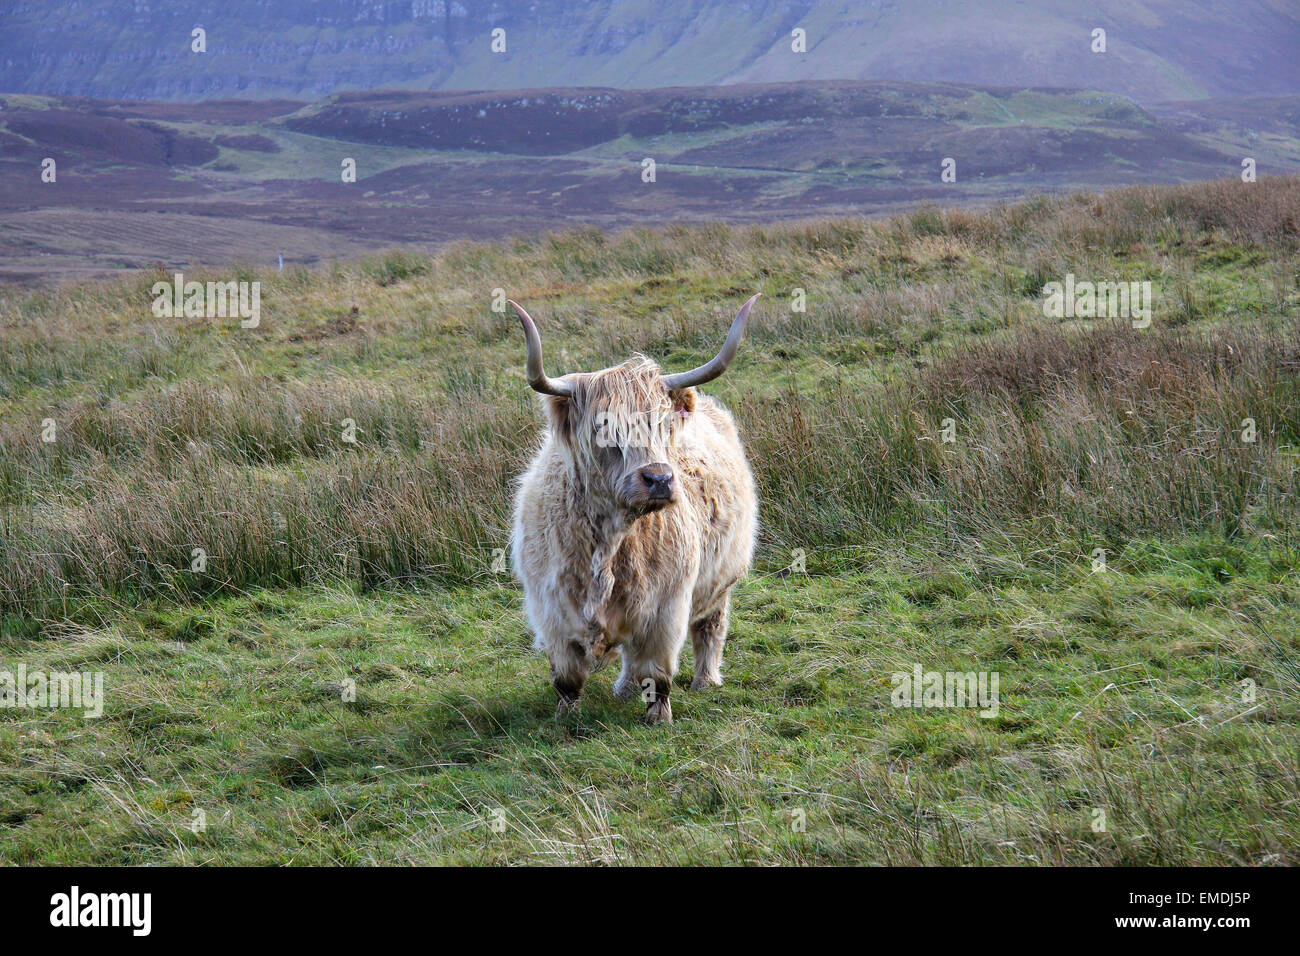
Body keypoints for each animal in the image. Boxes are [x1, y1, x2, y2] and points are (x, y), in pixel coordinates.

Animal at [509, 294, 761, 724]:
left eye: (663, 426)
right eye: (603, 429)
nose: (659, 479)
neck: (609, 540)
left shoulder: (666, 610)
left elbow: (657, 672)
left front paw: (659, 719)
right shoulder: (551, 609)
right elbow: (567, 677)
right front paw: (565, 719)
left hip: (722, 579)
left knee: (711, 625)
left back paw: (706, 679)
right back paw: (624, 688)